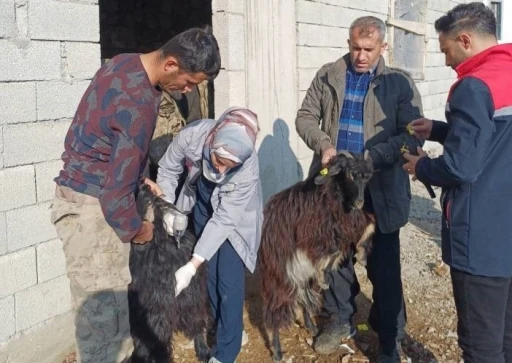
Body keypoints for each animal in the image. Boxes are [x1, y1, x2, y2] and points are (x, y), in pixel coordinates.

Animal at [260, 151, 376, 362]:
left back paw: (312, 327)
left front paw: (361, 253)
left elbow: (370, 222)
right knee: (273, 312)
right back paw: (278, 351)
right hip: (278, 276)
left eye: (367, 177)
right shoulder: (313, 235)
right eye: (349, 175)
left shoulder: (345, 226)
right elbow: (333, 250)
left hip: (301, 276)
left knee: (302, 300)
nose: (359, 202)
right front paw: (324, 275)